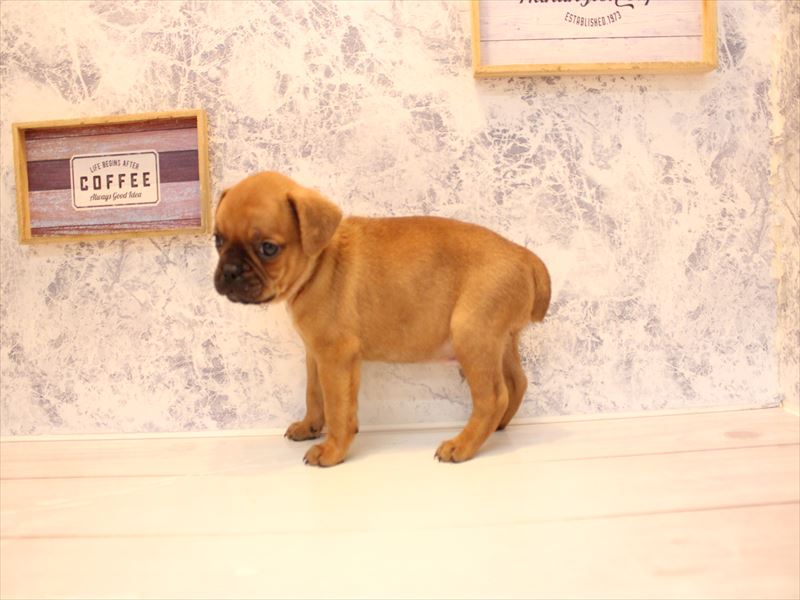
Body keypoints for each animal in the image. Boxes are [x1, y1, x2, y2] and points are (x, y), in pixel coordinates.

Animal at [214, 172, 550, 467]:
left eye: (268, 248)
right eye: (217, 240)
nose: (229, 271)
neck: (320, 263)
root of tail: (524, 256)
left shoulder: (336, 357)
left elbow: (337, 407)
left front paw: (333, 451)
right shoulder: (316, 354)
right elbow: (314, 394)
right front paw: (310, 427)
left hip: (472, 335)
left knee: (493, 397)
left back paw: (463, 445)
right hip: (500, 341)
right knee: (516, 383)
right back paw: (496, 428)